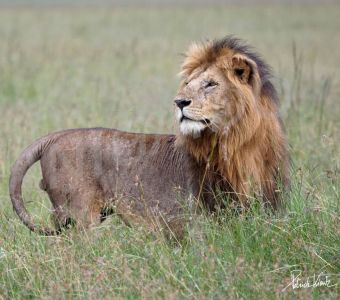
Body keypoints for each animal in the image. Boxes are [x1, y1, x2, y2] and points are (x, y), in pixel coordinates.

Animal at [8, 36, 290, 237]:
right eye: (187, 84)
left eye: (210, 84)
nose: (179, 102)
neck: (236, 144)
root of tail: (55, 136)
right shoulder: (196, 220)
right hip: (80, 217)